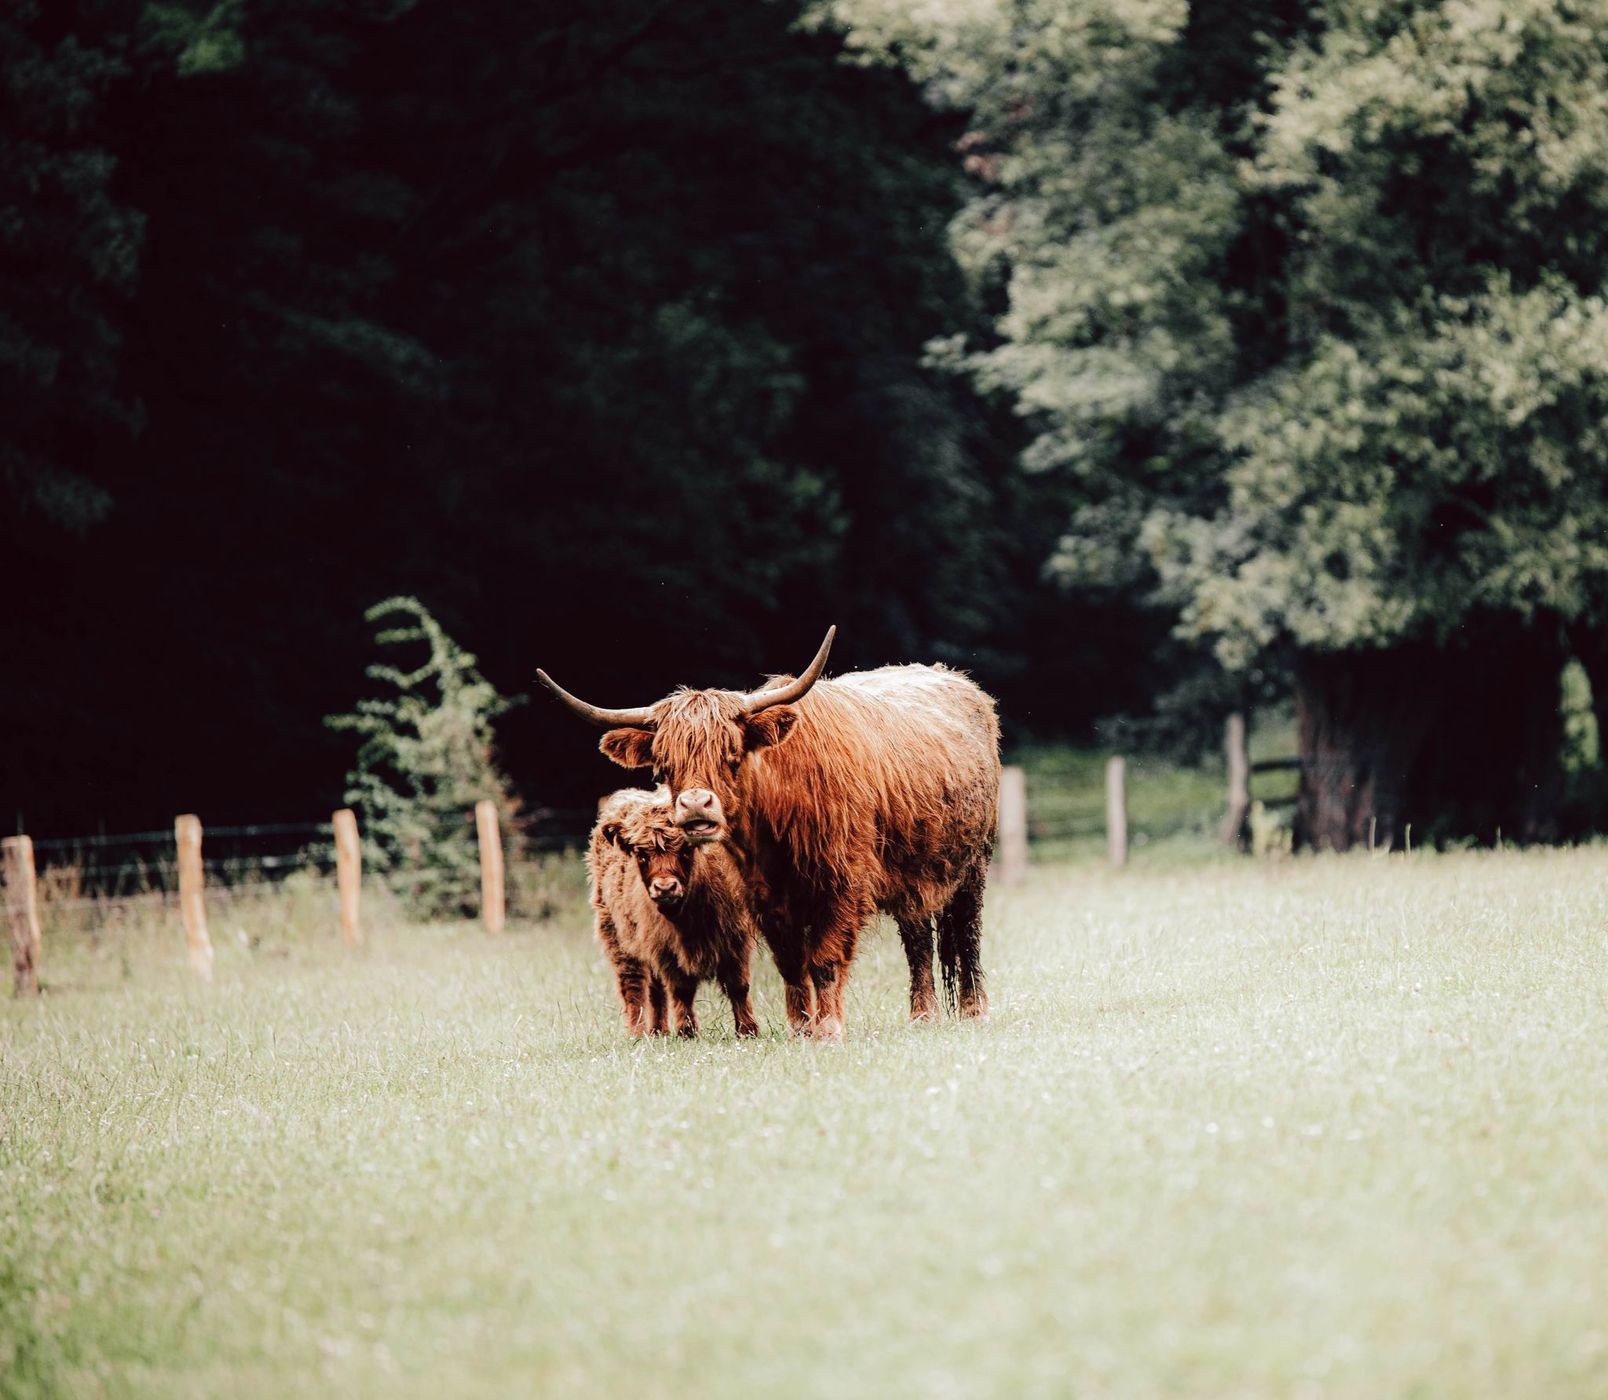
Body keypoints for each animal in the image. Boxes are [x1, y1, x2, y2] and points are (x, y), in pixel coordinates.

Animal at [586, 787, 760, 1038]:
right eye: (641, 854)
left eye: (686, 850)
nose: (665, 887)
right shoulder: (665, 948)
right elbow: (681, 989)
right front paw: (687, 1032)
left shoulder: (736, 937)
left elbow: (738, 985)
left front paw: (748, 1030)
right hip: (616, 936)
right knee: (634, 985)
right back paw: (638, 1034)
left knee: (655, 989)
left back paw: (658, 1031)